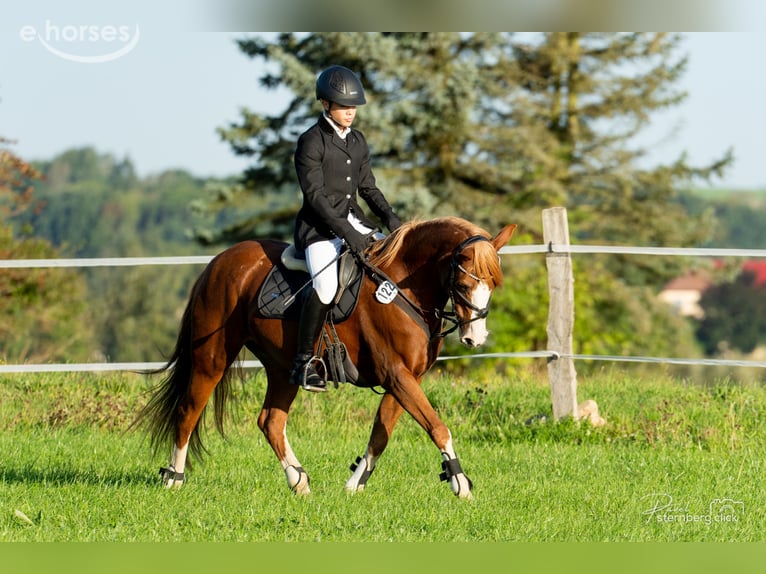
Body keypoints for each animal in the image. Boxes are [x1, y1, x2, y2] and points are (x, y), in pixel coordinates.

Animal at [133, 216, 516, 499]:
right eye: (464, 286)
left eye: (493, 285)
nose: (474, 338)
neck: (402, 287)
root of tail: (218, 262)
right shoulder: (397, 375)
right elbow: (438, 427)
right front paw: (460, 483)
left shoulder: (405, 378)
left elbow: (381, 434)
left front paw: (354, 485)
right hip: (211, 357)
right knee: (188, 411)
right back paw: (173, 478)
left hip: (283, 367)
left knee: (270, 421)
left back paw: (299, 482)